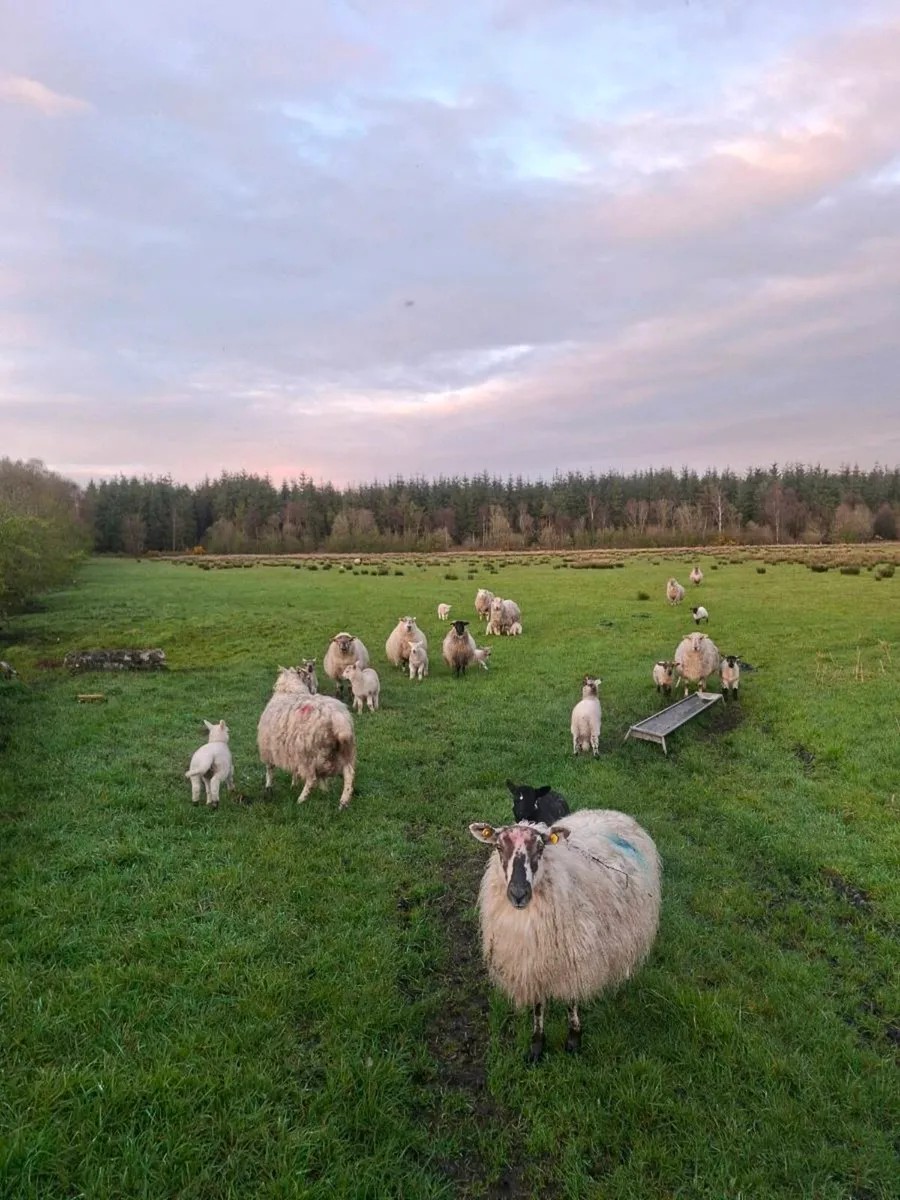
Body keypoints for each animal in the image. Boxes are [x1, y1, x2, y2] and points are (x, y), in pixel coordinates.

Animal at [257, 665, 356, 809]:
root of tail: (337, 718)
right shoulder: (291, 750)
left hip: (308, 754)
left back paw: (301, 800)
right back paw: (343, 802)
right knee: (349, 774)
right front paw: (294, 784)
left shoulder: (268, 748)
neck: (290, 690)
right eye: (308, 678)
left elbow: (269, 770)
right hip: (344, 750)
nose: (314, 689)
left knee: (311, 779)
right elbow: (294, 770)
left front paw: (268, 787)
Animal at [468, 807, 661, 1062]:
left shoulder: (574, 959)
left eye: (541, 848)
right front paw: (537, 1046)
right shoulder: (532, 965)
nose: (519, 894)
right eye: (499, 847)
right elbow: (538, 1007)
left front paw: (574, 1040)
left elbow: (571, 1000)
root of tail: (611, 812)